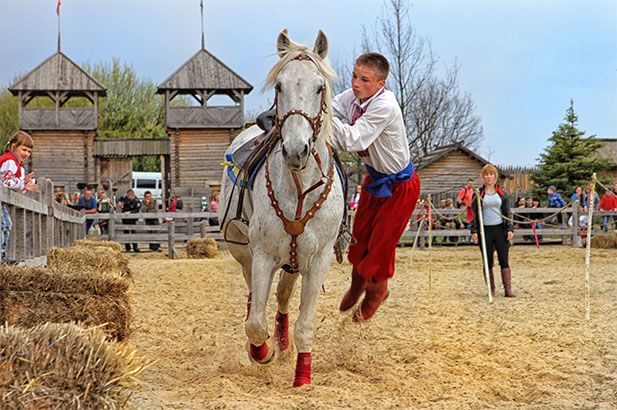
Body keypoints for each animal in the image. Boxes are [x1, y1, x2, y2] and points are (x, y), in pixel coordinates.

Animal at [219, 31, 344, 388]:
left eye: (319, 87)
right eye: (279, 86)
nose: (295, 150)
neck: (299, 188)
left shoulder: (318, 261)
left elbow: (305, 325)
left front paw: (302, 375)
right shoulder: (262, 254)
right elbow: (254, 324)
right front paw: (262, 352)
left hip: (294, 260)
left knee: (283, 299)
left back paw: (284, 342)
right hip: (246, 252)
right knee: (254, 298)